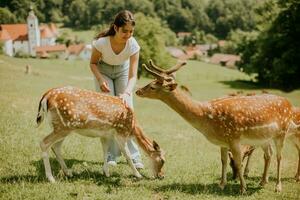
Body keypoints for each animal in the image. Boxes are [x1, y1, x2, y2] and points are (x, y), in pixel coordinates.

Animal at [36, 86, 165, 183]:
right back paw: (51, 178)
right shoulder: (121, 133)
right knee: (44, 143)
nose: (162, 176)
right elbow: (127, 155)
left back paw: (68, 172)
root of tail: (46, 95)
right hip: (64, 126)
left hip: (60, 127)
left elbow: (105, 151)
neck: (132, 127)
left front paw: (106, 172)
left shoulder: (105, 135)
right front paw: (138, 175)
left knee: (55, 146)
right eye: (162, 160)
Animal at [135, 59, 298, 194]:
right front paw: (221, 184)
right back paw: (263, 182)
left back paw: (278, 186)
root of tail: (288, 104)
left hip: (282, 133)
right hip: (264, 138)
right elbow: (223, 161)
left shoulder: (234, 138)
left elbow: (238, 163)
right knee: (268, 154)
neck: (207, 119)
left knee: (279, 156)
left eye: (152, 86)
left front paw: (242, 188)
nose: (138, 91)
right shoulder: (223, 142)